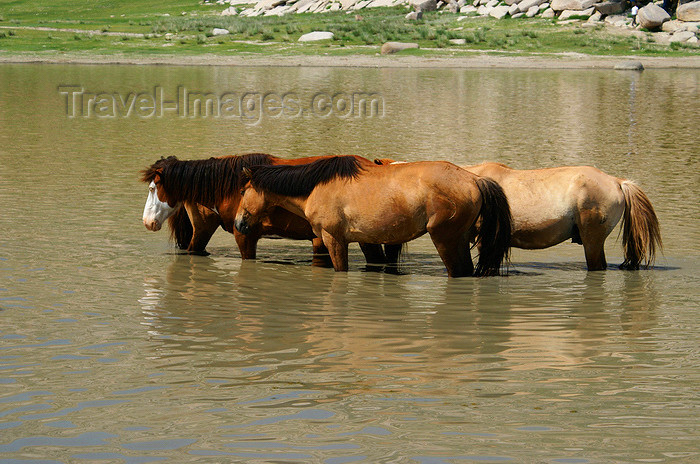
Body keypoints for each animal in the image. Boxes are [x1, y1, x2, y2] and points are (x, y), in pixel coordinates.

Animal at [232, 156, 512, 278]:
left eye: (243, 191)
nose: (239, 223)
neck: (315, 186)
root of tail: (474, 180)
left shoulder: (334, 240)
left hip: (446, 240)